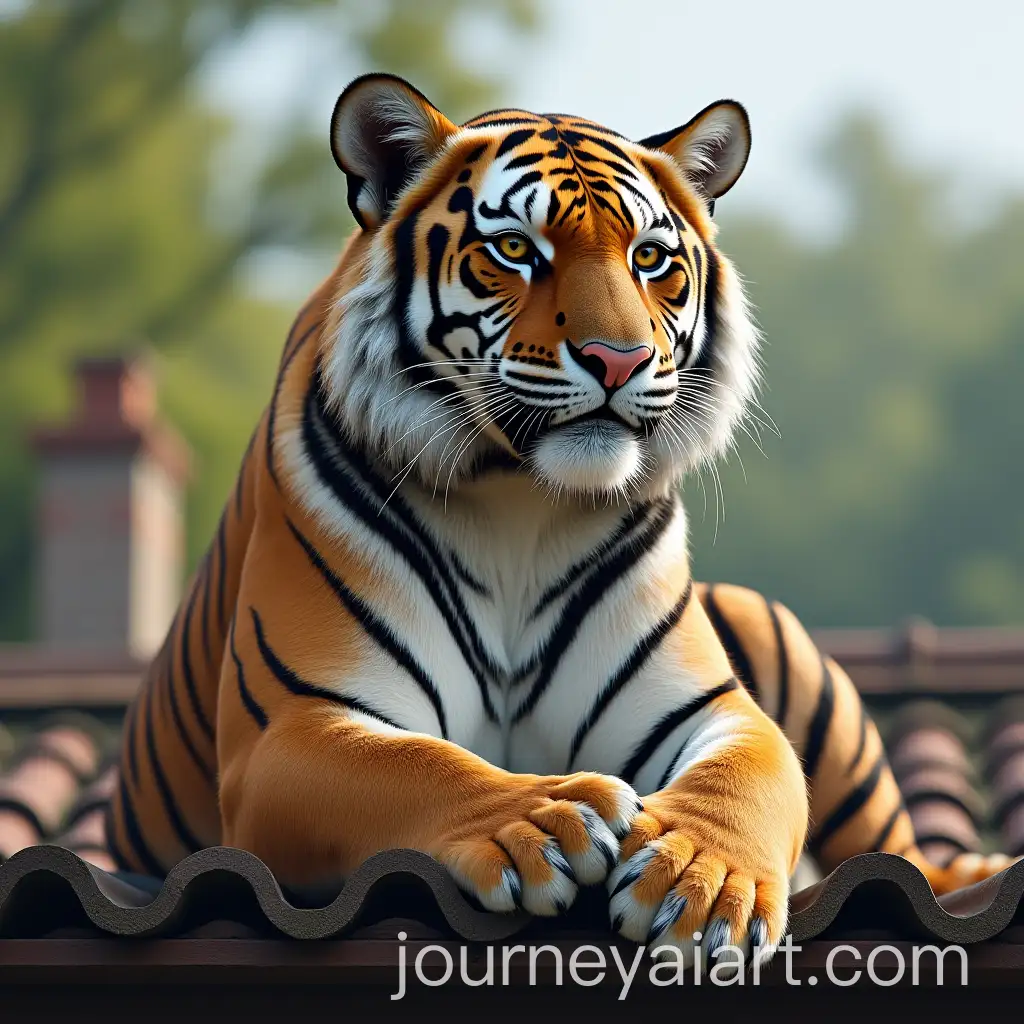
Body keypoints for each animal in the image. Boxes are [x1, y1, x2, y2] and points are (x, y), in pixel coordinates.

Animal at [106, 72, 1012, 968]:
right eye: (516, 250)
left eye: (650, 259)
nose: (620, 359)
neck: (521, 499)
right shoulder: (290, 727)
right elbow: (415, 765)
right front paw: (545, 821)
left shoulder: (712, 706)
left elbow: (746, 775)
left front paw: (704, 880)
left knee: (903, 847)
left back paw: (975, 868)